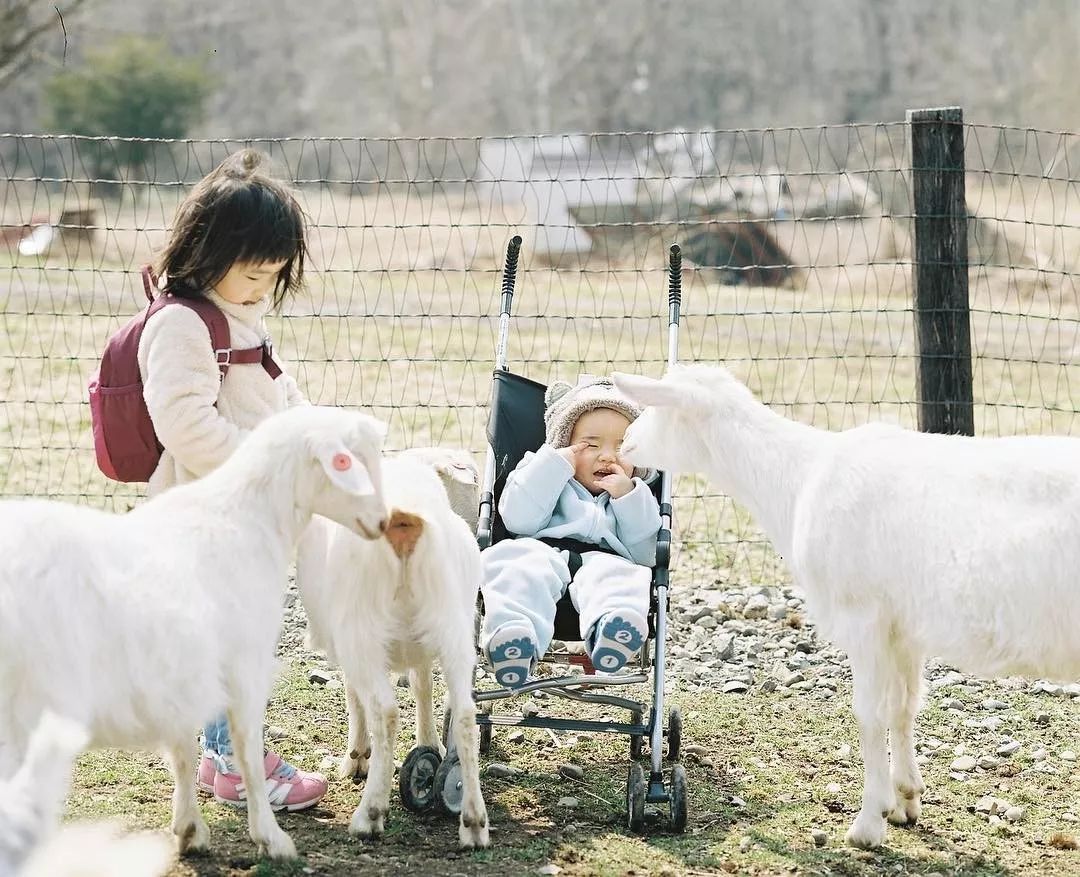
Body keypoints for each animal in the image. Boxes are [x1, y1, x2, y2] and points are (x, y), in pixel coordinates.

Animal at [0, 408, 388, 859]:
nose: (384, 522)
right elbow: (247, 751)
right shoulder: (245, 666)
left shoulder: (182, 672)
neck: (249, 519)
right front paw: (270, 837)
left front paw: (189, 829)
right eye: (350, 463)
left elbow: (182, 749)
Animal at [300, 455, 494, 846]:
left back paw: (370, 812)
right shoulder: (421, 649)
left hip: (361, 631)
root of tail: (405, 517)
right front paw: (431, 744)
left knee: (385, 712)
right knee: (466, 714)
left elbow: (354, 695)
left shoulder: (349, 643)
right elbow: (423, 689)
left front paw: (357, 757)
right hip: (456, 625)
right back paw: (473, 820)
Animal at [613, 365, 1080, 851]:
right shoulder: (902, 626)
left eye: (662, 406)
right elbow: (904, 706)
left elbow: (870, 712)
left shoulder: (864, 615)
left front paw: (869, 822)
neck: (795, 478)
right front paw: (906, 799)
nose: (624, 444)